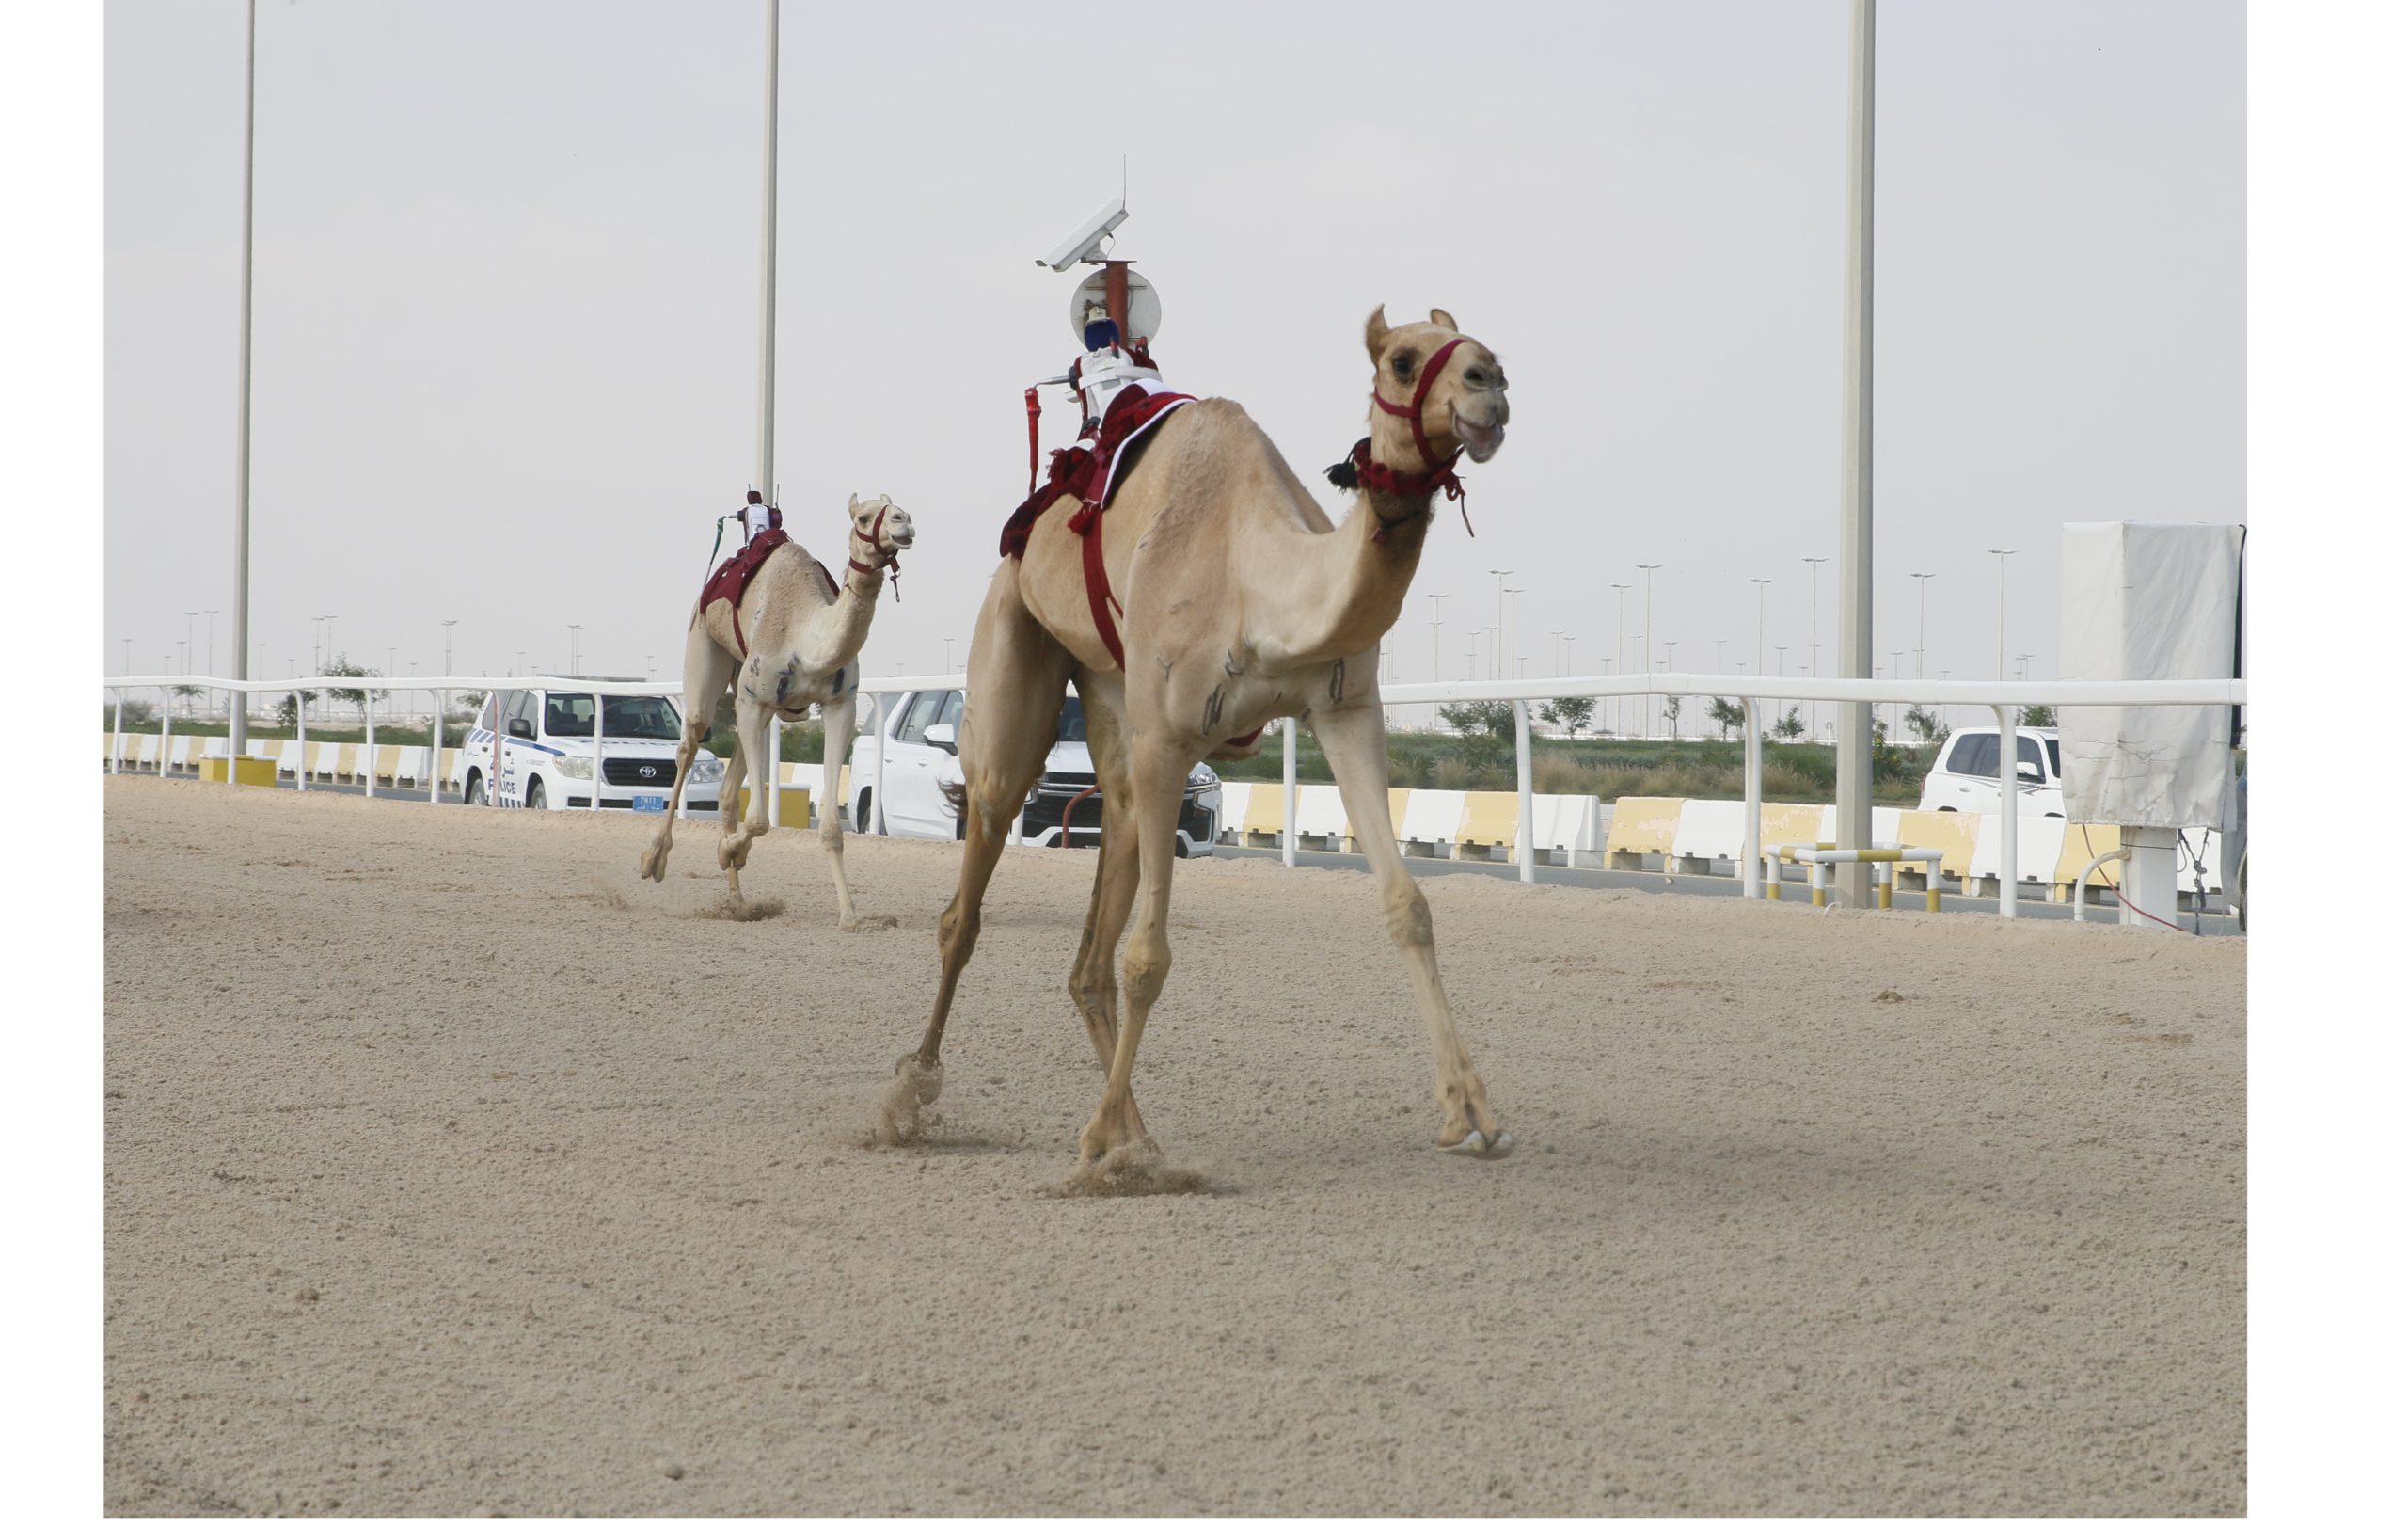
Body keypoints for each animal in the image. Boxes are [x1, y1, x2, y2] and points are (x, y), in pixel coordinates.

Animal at [640, 491, 910, 930]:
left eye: (900, 509)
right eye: (864, 517)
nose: (903, 524)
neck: (806, 636)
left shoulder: (840, 705)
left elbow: (831, 826)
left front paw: (851, 915)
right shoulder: (754, 699)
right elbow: (760, 820)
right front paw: (726, 850)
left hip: (751, 697)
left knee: (728, 792)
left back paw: (737, 901)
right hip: (705, 646)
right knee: (689, 744)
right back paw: (654, 859)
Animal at [895, 303, 1512, 1170]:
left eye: (1481, 348)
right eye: (1400, 359)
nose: (1490, 387)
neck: (1258, 585)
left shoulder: (1346, 710)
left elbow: (1407, 904)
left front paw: (1471, 1113)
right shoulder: (1168, 737)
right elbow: (1150, 955)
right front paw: (1091, 1146)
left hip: (1111, 709)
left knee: (1093, 941)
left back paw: (1136, 1137)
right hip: (1013, 657)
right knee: (971, 893)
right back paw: (914, 1094)